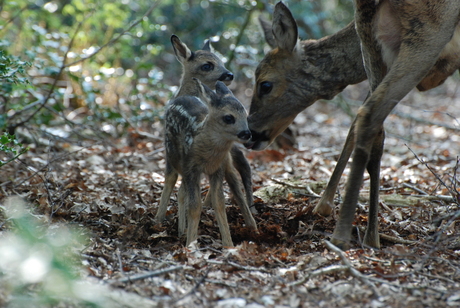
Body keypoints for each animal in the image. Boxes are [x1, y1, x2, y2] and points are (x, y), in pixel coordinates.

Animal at [246, 1, 458, 249]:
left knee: (368, 120)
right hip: (428, 31)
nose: (250, 132)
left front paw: (324, 205)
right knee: (371, 117)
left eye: (265, 85)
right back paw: (359, 236)